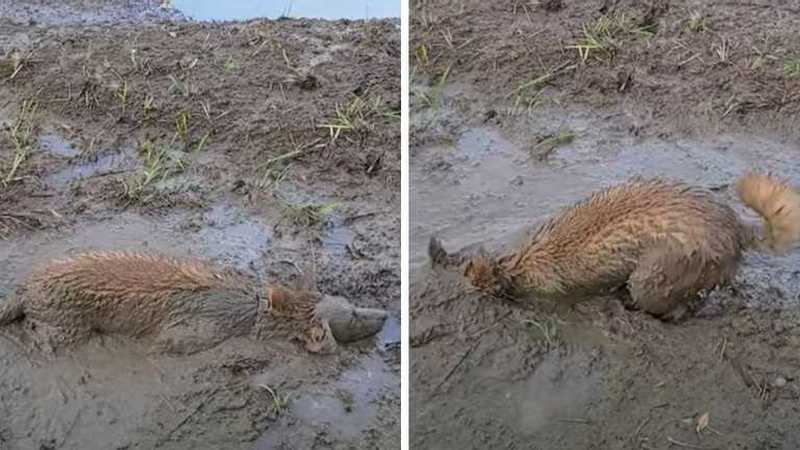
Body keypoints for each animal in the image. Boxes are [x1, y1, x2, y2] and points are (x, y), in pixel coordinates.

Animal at [0, 251, 388, 354]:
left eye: (353, 303)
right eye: (355, 314)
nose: (386, 314)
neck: (255, 308)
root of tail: (23, 287)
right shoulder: (193, 333)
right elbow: (166, 344)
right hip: (66, 324)